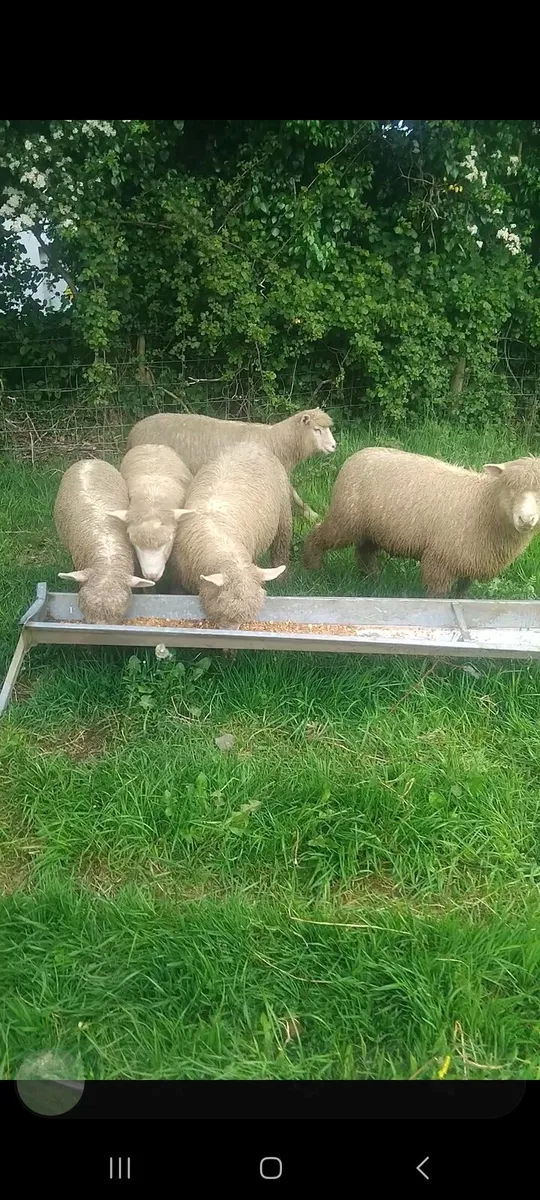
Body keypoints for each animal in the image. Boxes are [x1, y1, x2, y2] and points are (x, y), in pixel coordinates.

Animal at [126, 407, 336, 523]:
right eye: (317, 430)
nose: (335, 446)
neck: (277, 442)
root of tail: (133, 431)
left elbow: (294, 494)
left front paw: (311, 514)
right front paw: (310, 514)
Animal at [168, 442, 293, 627]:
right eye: (221, 605)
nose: (229, 629)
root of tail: (251, 443)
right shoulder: (178, 580)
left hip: (284, 515)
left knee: (281, 547)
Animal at [302, 446, 540, 597]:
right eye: (509, 486)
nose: (526, 519)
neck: (484, 506)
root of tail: (357, 455)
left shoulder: (470, 560)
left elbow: (462, 593)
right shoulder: (439, 562)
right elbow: (438, 597)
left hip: (370, 528)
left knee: (364, 552)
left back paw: (372, 579)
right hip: (345, 519)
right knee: (317, 536)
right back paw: (313, 569)